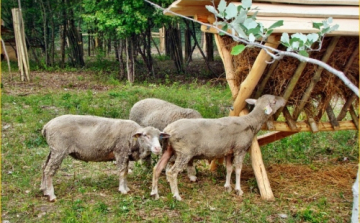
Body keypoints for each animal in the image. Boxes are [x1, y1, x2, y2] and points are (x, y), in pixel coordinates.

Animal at [40, 114, 169, 201]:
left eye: (159, 136)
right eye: (146, 135)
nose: (158, 149)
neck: (134, 139)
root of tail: (47, 126)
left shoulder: (126, 155)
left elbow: (125, 172)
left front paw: (126, 188)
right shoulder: (120, 152)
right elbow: (122, 172)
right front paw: (123, 190)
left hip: (53, 150)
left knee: (44, 167)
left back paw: (44, 190)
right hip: (59, 149)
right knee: (49, 170)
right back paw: (51, 194)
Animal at [150, 94, 286, 200]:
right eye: (274, 101)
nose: (284, 100)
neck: (251, 122)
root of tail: (168, 130)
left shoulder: (228, 152)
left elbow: (229, 169)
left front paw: (227, 187)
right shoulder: (240, 149)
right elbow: (238, 169)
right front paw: (238, 189)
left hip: (168, 149)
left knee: (157, 168)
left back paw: (155, 193)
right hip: (184, 152)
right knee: (171, 173)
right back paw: (176, 196)